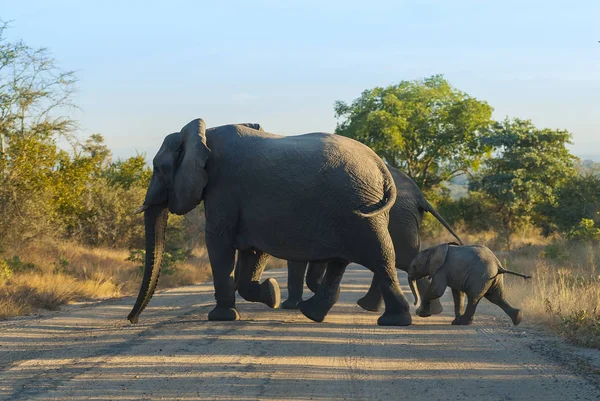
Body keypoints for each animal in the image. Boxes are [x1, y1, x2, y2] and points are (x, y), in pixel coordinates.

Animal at [129, 118, 414, 324]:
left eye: (158, 168)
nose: (132, 320)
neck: (204, 134)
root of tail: (380, 166)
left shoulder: (224, 187)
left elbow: (218, 241)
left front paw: (221, 318)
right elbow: (252, 250)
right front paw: (272, 293)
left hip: (360, 208)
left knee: (379, 257)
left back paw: (392, 321)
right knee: (343, 261)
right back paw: (314, 314)